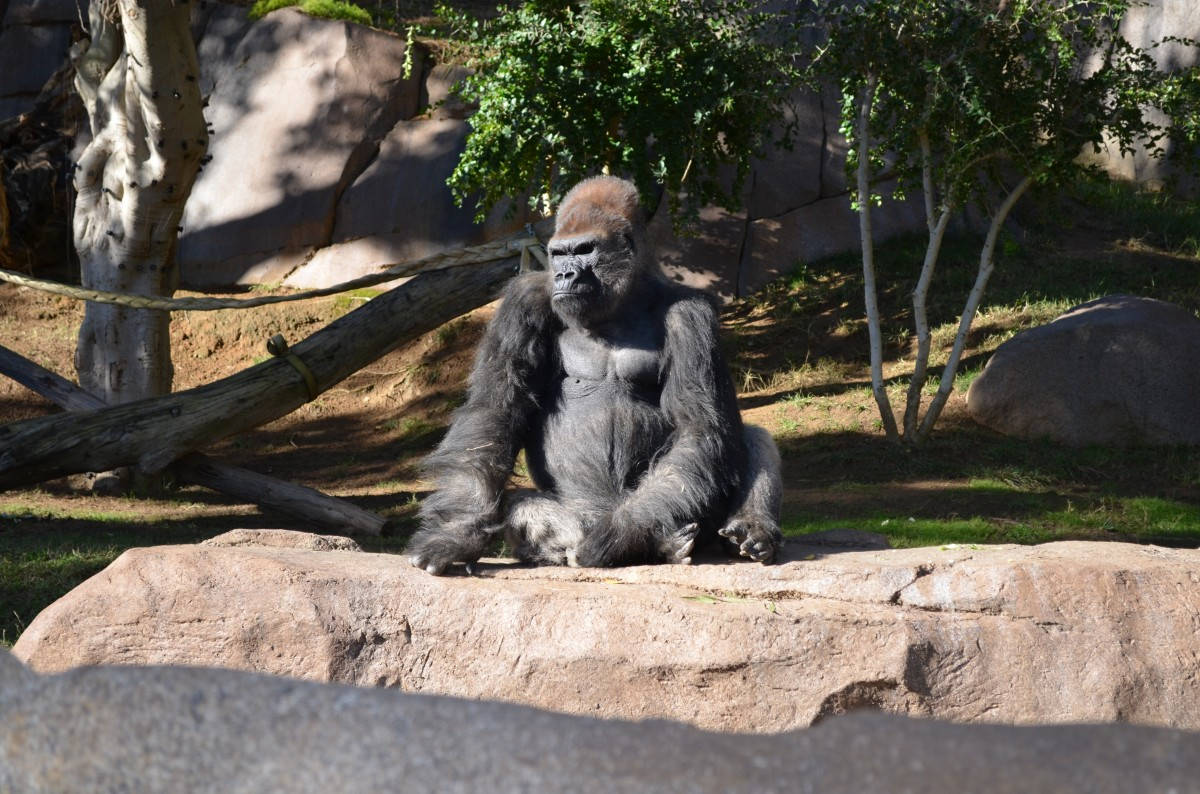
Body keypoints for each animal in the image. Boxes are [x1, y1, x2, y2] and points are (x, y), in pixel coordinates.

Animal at [406, 176, 783, 574]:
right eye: (558, 254)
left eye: (585, 250)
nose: (564, 274)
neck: (622, 301)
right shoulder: (523, 301)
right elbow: (494, 413)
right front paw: (455, 533)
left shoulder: (690, 313)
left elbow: (699, 427)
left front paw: (618, 537)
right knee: (524, 507)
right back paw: (654, 543)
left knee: (741, 440)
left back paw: (748, 531)